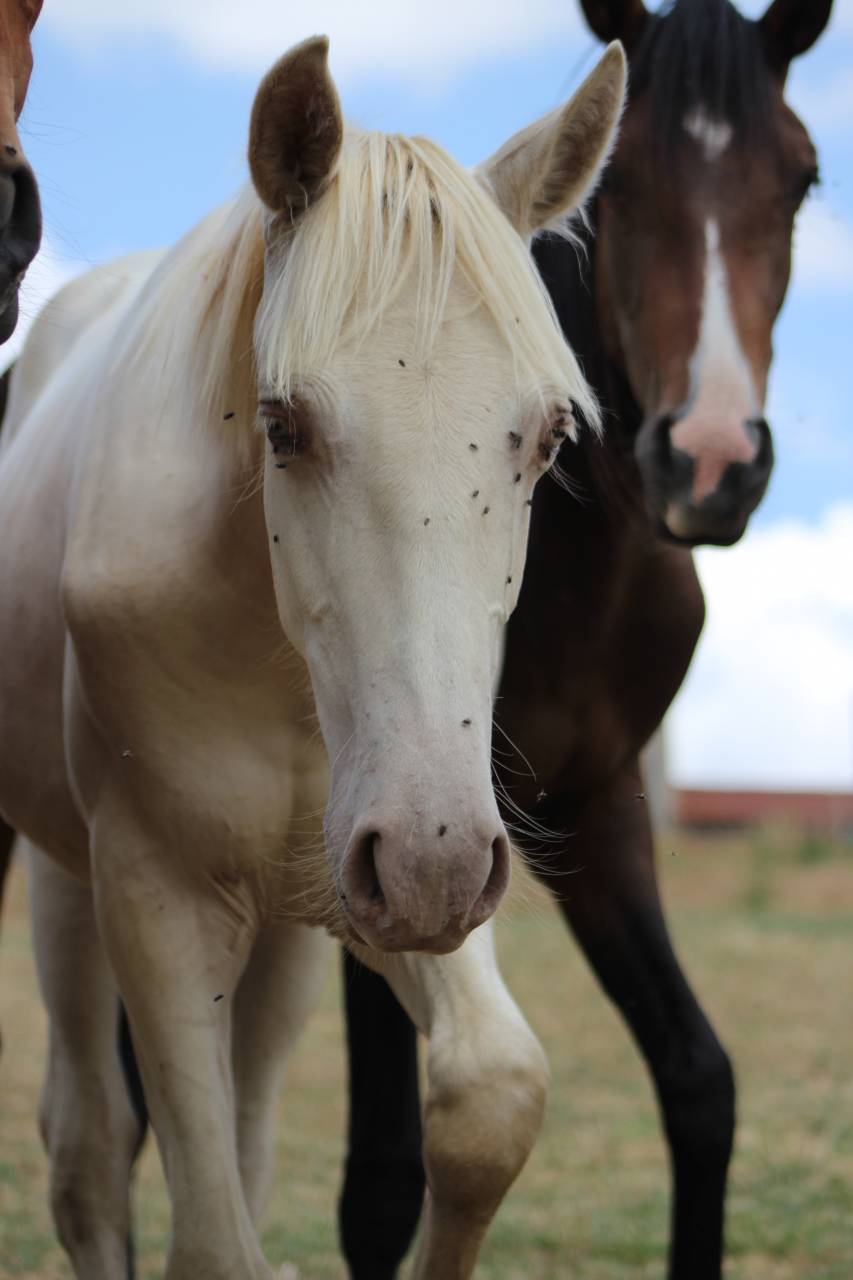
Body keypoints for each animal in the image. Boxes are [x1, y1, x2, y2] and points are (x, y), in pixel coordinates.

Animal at [0, 34, 627, 1280]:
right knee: (87, 1149)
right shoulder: (154, 890)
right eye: (282, 422)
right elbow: (208, 1236)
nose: (434, 861)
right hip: (67, 879)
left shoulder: (395, 863)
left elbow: (492, 1096)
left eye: (545, 437)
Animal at [338, 2, 834, 1278]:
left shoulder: (599, 806)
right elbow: (381, 1181)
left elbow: (700, 1080)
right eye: (621, 183)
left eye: (803, 177)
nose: (709, 460)